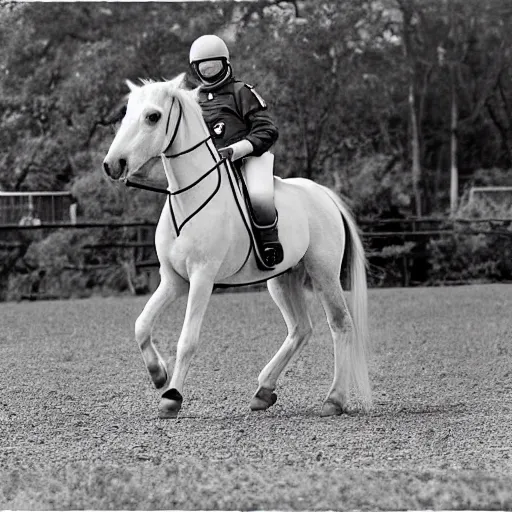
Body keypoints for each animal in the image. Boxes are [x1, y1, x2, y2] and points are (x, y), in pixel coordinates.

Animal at [102, 77, 372, 420]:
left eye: (153, 116)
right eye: (126, 113)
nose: (113, 165)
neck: (188, 196)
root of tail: (322, 193)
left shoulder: (202, 278)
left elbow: (187, 339)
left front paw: (172, 396)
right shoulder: (173, 280)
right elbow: (141, 325)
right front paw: (158, 374)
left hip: (323, 273)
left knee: (340, 324)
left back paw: (334, 399)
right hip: (282, 278)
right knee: (301, 328)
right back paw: (264, 390)